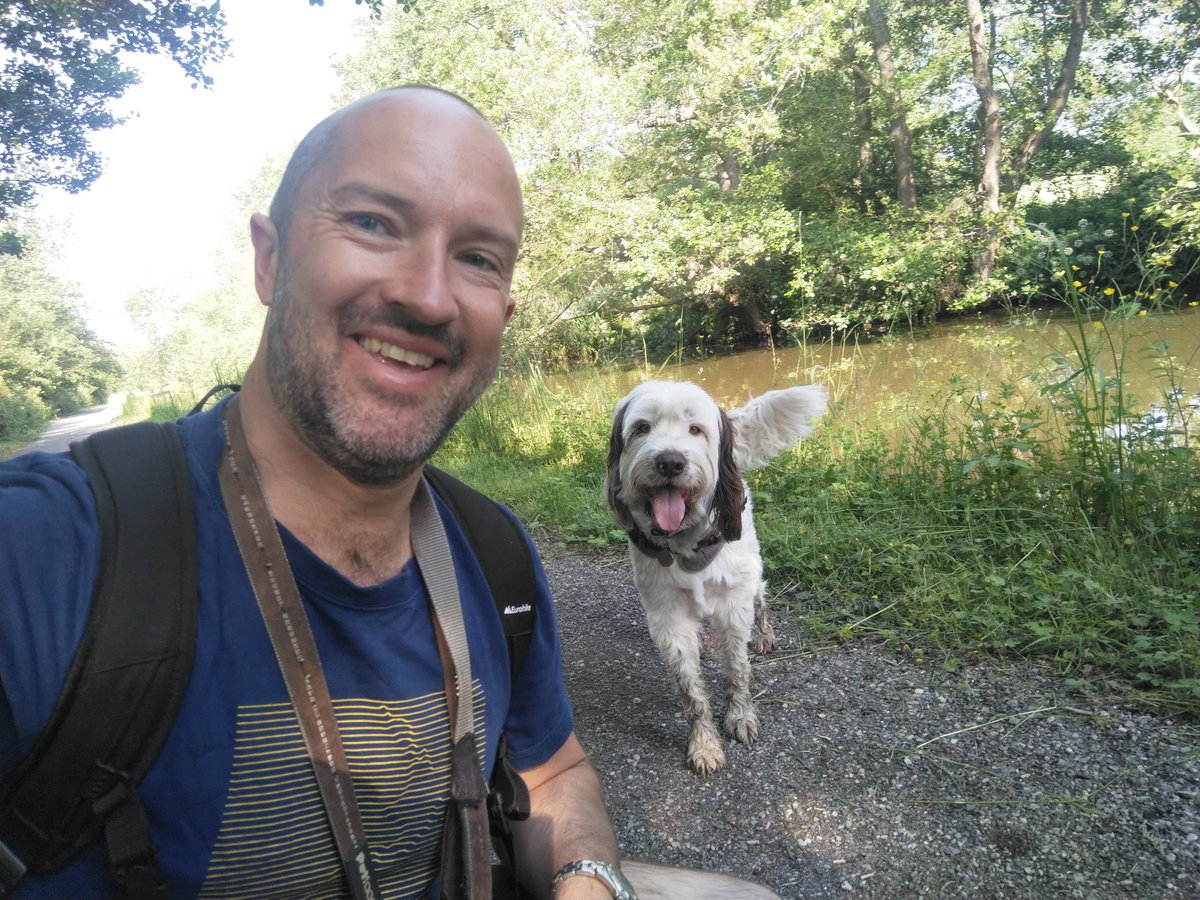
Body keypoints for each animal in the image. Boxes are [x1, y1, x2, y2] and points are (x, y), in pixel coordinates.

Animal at [609, 381, 825, 777]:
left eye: (695, 429)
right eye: (642, 428)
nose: (670, 462)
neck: (684, 543)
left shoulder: (732, 605)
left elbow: (737, 670)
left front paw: (739, 716)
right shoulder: (669, 616)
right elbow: (691, 691)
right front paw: (704, 742)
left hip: (752, 564)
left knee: (761, 597)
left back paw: (764, 633)